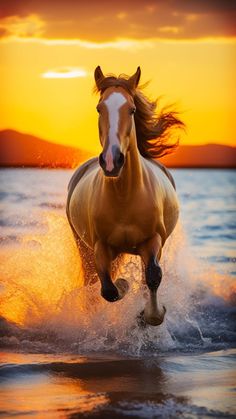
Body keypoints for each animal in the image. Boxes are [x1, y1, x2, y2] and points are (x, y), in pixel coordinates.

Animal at [66, 67, 184, 326]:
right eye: (99, 108)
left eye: (131, 109)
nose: (112, 161)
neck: (125, 197)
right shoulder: (100, 246)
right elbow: (108, 289)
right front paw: (123, 285)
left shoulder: (153, 241)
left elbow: (152, 276)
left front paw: (151, 315)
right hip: (83, 247)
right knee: (92, 284)